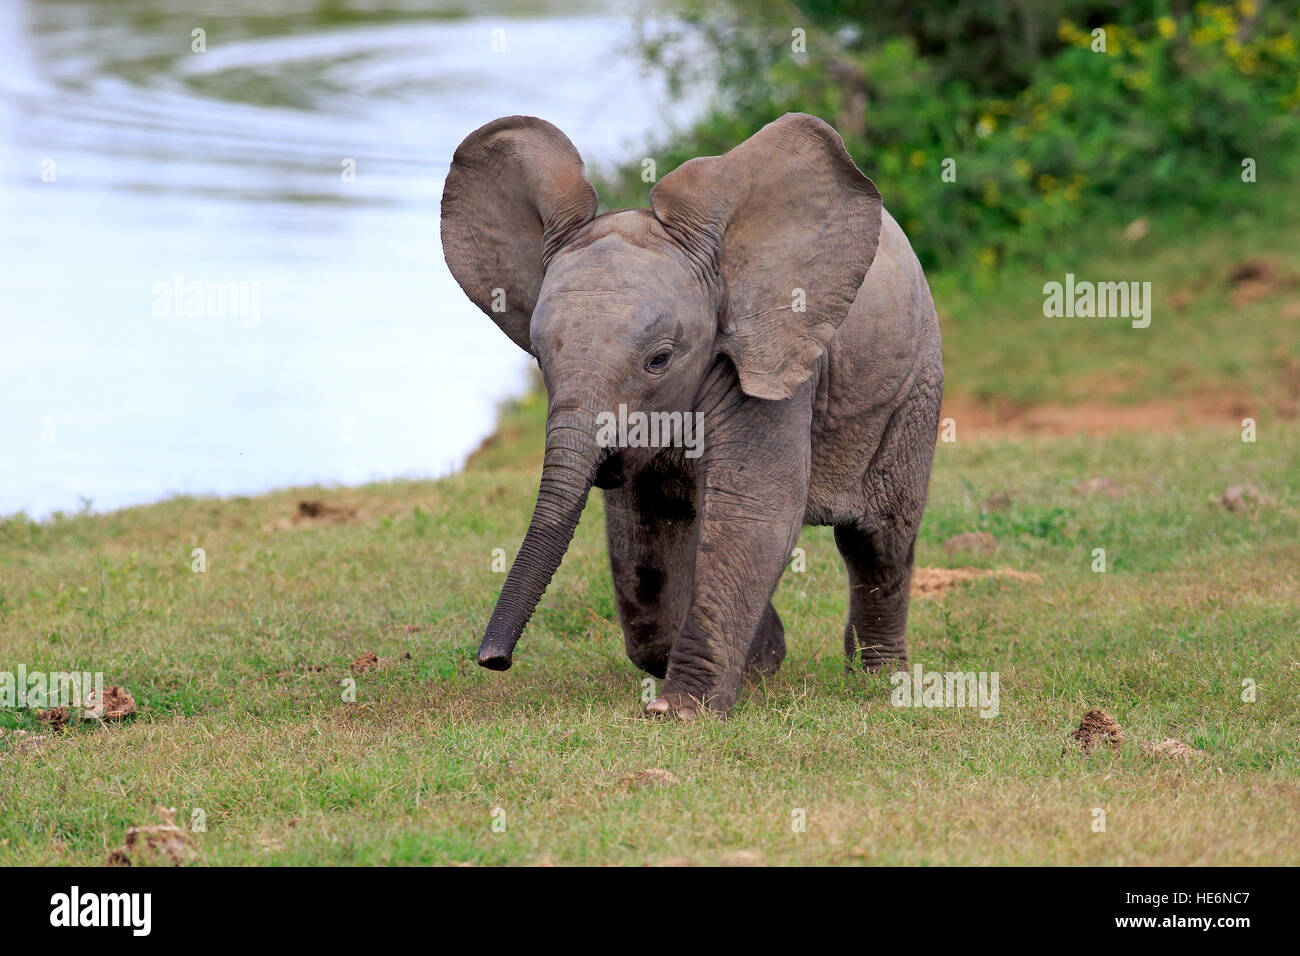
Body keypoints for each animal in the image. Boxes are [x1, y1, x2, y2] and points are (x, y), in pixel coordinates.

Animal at [441, 112, 943, 719]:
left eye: (659, 359)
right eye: (539, 356)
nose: (493, 661)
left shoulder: (769, 363)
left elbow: (755, 511)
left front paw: (680, 710)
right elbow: (641, 532)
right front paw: (758, 660)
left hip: (914, 384)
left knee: (880, 539)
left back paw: (879, 679)